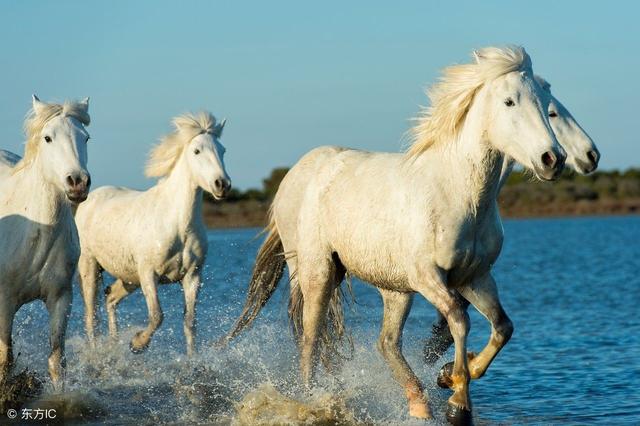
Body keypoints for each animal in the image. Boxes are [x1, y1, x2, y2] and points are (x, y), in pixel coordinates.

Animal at [0, 95, 90, 390]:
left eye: (86, 137)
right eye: (48, 138)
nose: (77, 182)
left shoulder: (60, 297)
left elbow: (57, 361)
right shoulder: (4, 301)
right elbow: (5, 361)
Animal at [75, 111, 230, 354]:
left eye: (222, 150)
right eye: (196, 151)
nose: (222, 185)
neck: (178, 225)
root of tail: (88, 200)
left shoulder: (192, 276)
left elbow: (190, 322)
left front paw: (192, 359)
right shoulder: (149, 273)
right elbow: (157, 316)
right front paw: (138, 344)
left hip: (128, 277)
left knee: (110, 297)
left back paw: (114, 345)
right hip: (90, 265)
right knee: (91, 317)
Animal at [225, 46, 564, 422]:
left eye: (545, 103)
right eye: (509, 102)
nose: (553, 159)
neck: (459, 194)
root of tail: (295, 175)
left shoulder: (475, 277)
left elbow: (503, 327)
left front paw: (448, 376)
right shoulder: (427, 277)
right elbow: (459, 319)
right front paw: (458, 404)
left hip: (393, 289)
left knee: (386, 342)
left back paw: (418, 402)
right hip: (318, 272)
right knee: (310, 341)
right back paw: (311, 399)